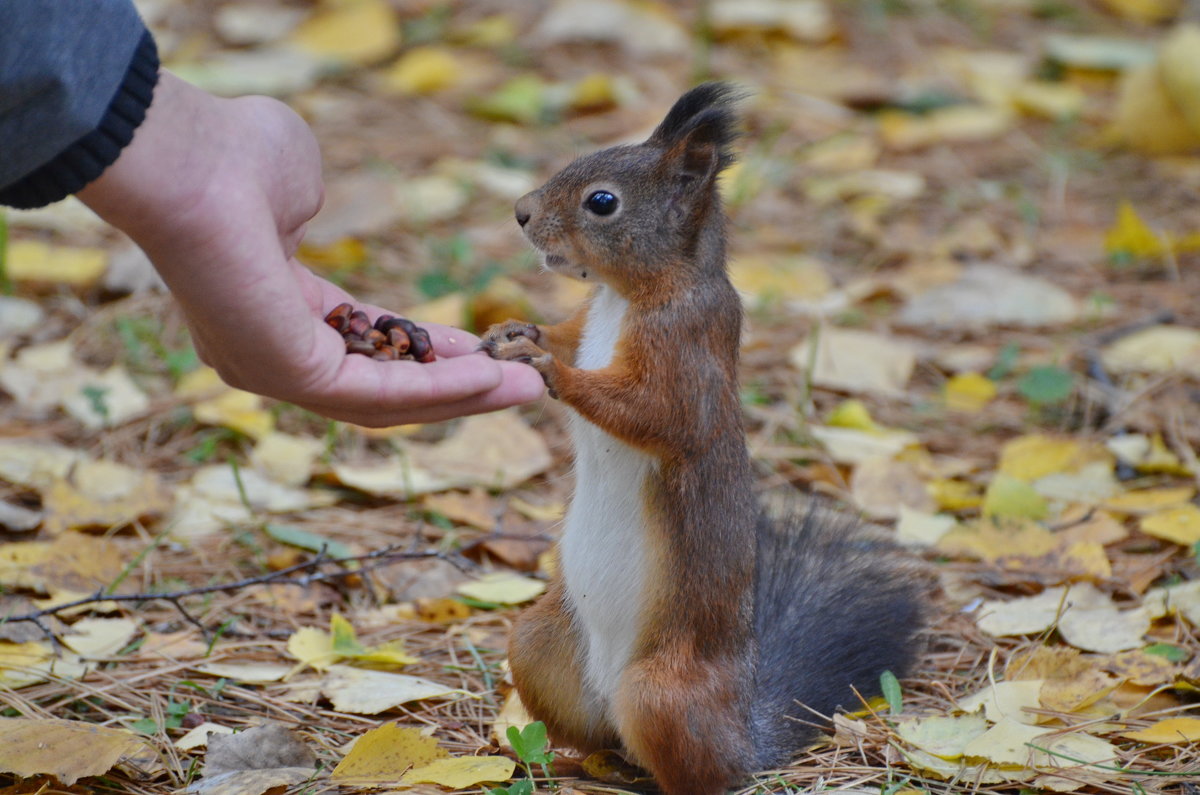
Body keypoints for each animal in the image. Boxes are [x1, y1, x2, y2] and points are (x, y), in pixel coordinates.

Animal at [477, 81, 916, 795]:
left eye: (602, 202)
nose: (521, 213)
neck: (623, 296)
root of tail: (744, 739)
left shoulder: (687, 351)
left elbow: (656, 414)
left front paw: (550, 370)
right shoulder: (588, 322)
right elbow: (566, 334)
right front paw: (516, 332)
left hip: (663, 692)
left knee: (690, 770)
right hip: (540, 641)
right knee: (602, 738)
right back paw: (568, 759)